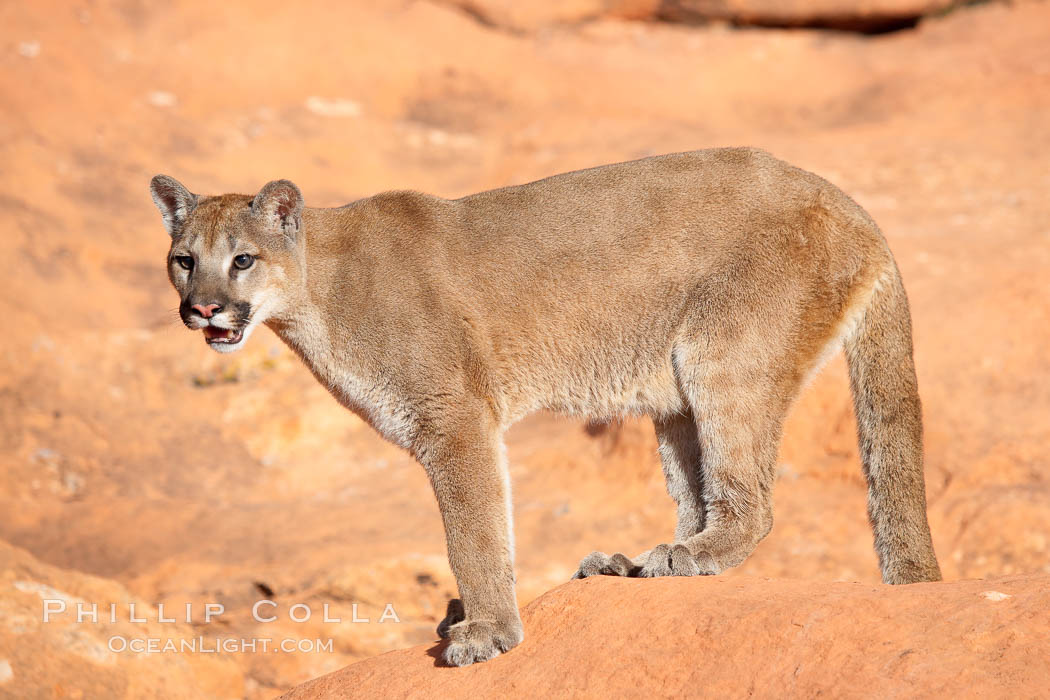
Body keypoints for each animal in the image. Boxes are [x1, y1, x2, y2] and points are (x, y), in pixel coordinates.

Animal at [150, 146, 944, 667]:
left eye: (242, 259)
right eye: (185, 259)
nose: (202, 309)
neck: (313, 292)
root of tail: (851, 203)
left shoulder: (455, 420)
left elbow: (473, 534)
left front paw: (486, 631)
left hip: (724, 356)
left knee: (751, 503)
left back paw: (687, 556)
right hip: (674, 392)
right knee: (700, 493)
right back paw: (640, 564)